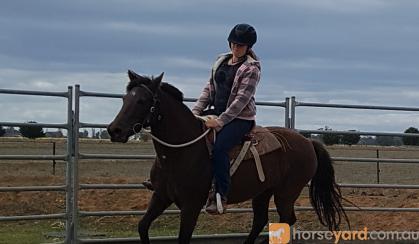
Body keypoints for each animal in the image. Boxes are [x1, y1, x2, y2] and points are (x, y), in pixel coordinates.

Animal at [106, 70, 350, 244]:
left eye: (142, 101)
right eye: (124, 98)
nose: (114, 130)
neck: (180, 152)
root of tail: (308, 142)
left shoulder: (191, 205)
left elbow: (183, 238)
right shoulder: (160, 196)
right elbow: (142, 227)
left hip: (286, 193)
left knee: (286, 221)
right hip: (263, 192)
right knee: (260, 221)